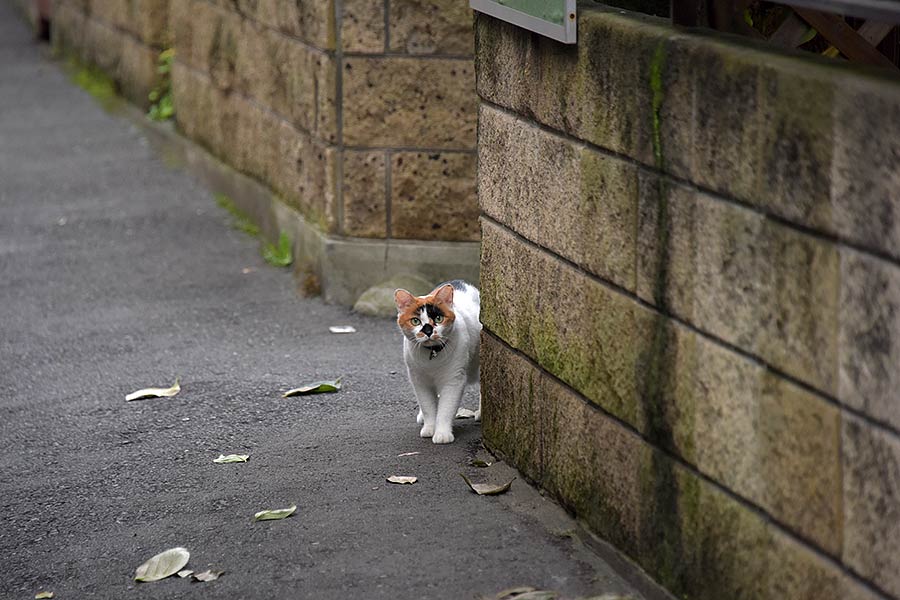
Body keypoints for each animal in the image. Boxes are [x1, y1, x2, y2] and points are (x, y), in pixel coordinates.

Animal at [392, 278, 478, 442]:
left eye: (438, 318)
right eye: (415, 321)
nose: (428, 330)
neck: (432, 358)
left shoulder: (454, 380)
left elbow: (446, 409)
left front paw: (442, 434)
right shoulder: (419, 381)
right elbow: (428, 407)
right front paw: (429, 428)